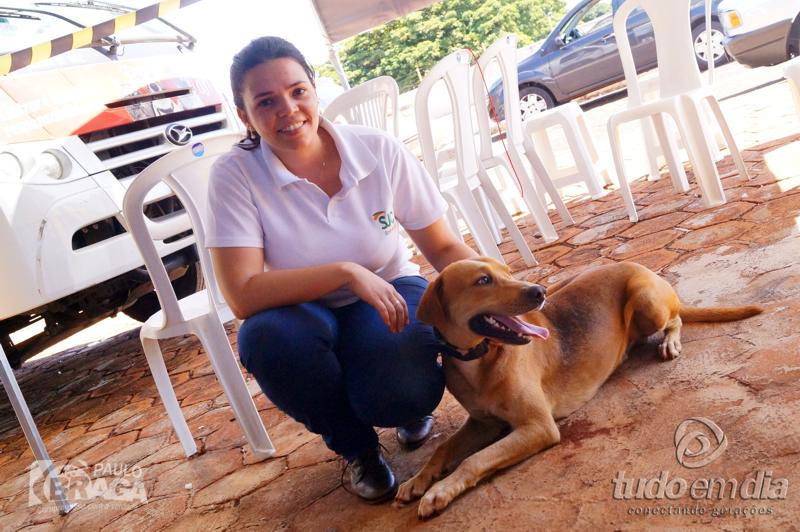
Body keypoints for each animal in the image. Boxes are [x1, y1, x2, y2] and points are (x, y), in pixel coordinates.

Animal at [396, 256, 760, 516]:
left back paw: (669, 341)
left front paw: (440, 491)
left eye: (509, 271)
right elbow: (444, 448)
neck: (480, 359)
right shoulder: (483, 423)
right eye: (483, 280)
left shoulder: (537, 427)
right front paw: (419, 480)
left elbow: (474, 460)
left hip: (646, 301)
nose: (538, 292)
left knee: (676, 319)